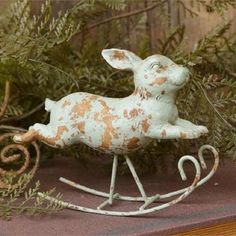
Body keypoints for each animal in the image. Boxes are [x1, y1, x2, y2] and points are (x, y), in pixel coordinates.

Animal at [13, 48, 207, 154]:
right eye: (156, 66)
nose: (185, 71)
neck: (155, 99)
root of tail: (55, 105)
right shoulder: (154, 127)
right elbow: (175, 130)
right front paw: (191, 134)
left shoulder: (174, 118)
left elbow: (184, 122)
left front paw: (200, 129)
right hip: (62, 136)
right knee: (36, 127)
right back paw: (18, 138)